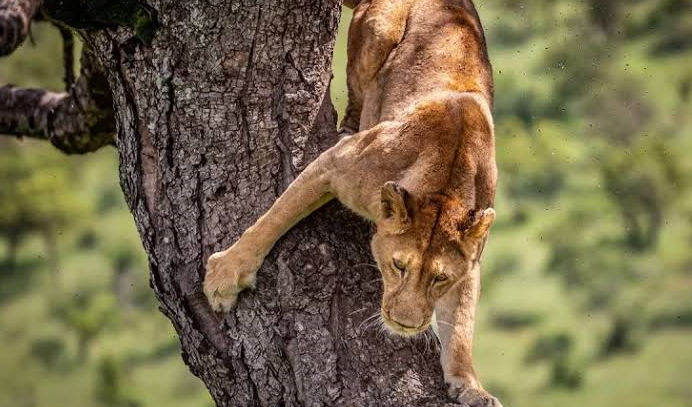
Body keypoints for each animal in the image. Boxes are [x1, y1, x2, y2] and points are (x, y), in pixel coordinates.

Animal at [204, 0, 500, 405]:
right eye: (398, 266)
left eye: (440, 278)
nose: (405, 324)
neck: (446, 187)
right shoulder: (335, 164)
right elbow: (274, 218)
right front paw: (227, 274)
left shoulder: (470, 262)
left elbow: (461, 326)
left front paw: (471, 386)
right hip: (381, 28)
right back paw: (350, 124)